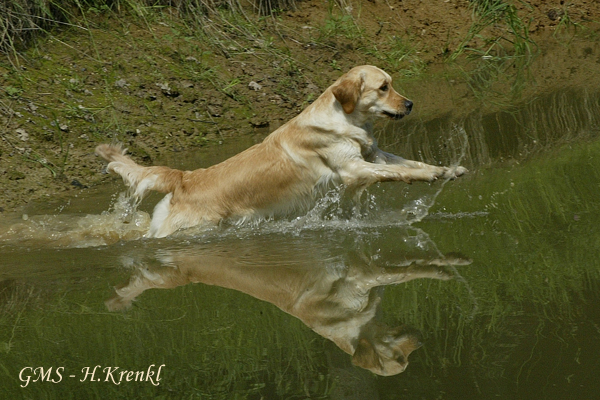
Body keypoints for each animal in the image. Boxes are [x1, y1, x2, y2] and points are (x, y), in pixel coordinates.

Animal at [96, 65, 466, 237]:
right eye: (384, 87)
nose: (410, 104)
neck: (345, 119)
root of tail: (184, 177)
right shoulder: (354, 170)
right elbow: (398, 172)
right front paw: (433, 175)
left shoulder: (372, 155)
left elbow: (409, 162)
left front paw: (447, 170)